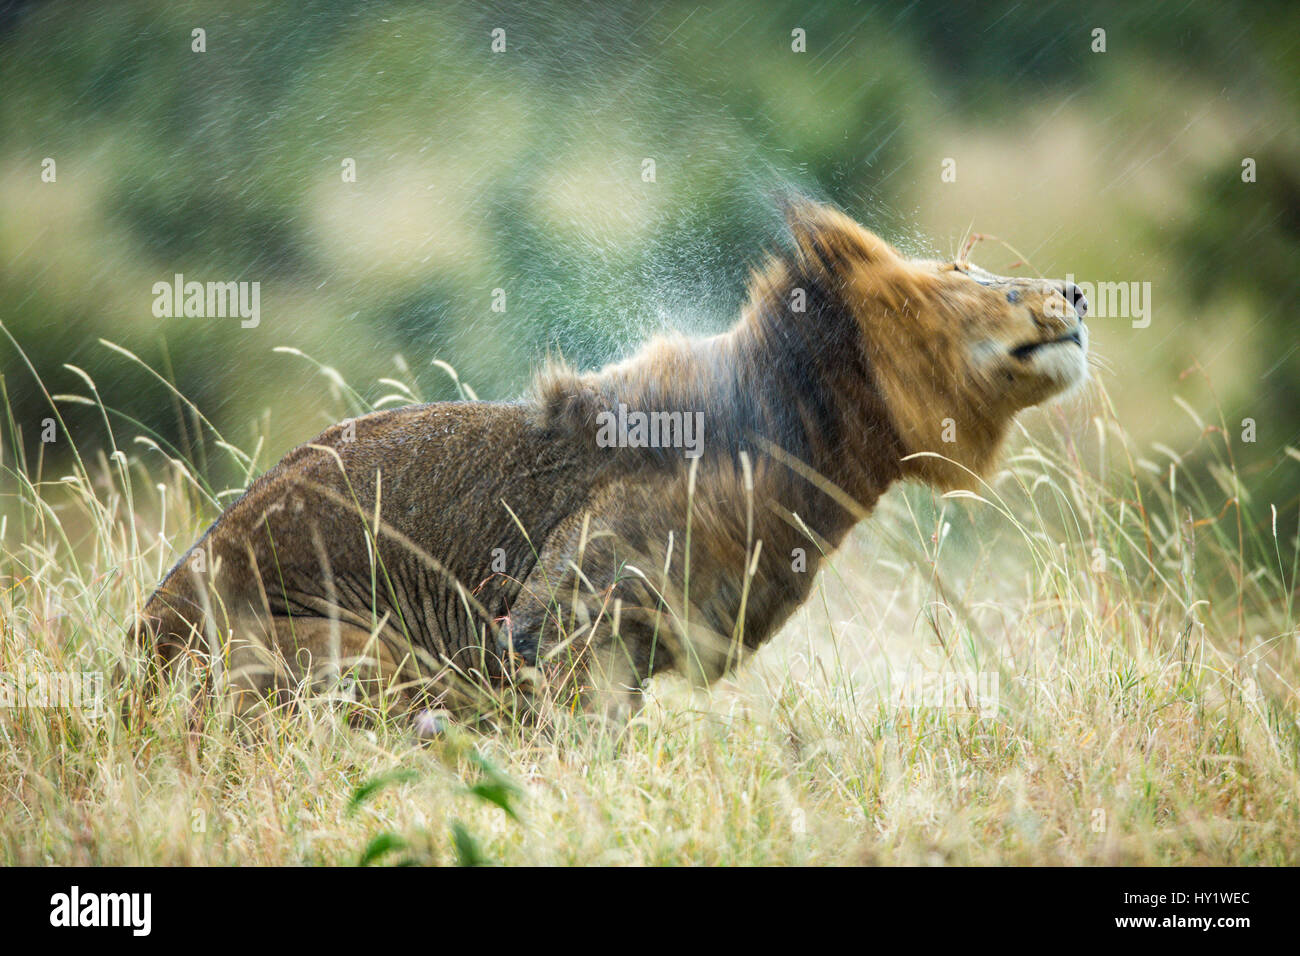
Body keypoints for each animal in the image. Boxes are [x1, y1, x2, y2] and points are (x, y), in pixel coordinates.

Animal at [129, 204, 1086, 723]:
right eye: (976, 280)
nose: (1077, 292)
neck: (805, 444)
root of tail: (130, 664)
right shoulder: (563, 617)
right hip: (352, 648)